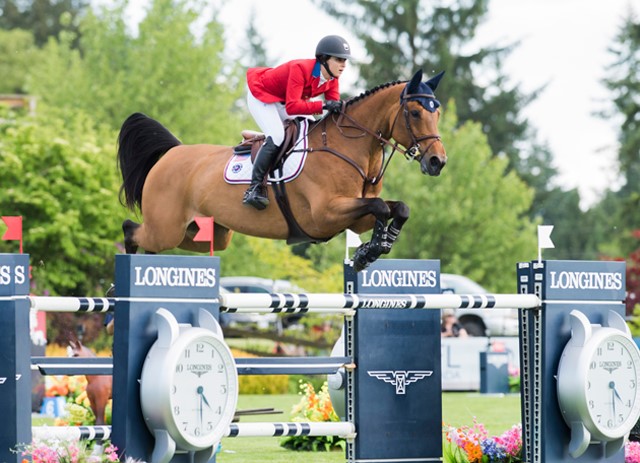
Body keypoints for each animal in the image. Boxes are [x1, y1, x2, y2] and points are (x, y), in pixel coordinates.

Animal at [117, 70, 448, 272]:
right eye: (415, 113)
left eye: (438, 113)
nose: (438, 162)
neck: (349, 149)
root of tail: (172, 153)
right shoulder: (324, 215)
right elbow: (380, 206)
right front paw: (369, 251)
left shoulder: (355, 216)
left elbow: (398, 208)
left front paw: (379, 245)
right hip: (167, 227)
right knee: (132, 230)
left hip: (206, 233)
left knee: (155, 242)